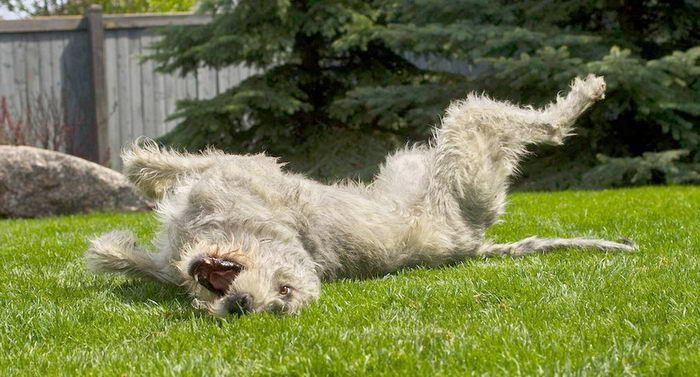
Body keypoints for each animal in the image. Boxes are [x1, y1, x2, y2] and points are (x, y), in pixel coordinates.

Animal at [85, 73, 636, 314]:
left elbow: (158, 167)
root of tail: (474, 242)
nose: (241, 305)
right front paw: (116, 246)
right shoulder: (181, 247)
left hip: (467, 139)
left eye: (283, 295)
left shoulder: (244, 169)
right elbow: (127, 244)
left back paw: (585, 93)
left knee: (542, 125)